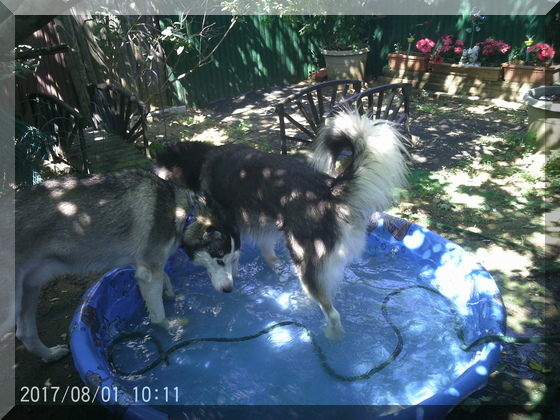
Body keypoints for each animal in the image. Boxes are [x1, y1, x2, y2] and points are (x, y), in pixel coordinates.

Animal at [155, 110, 410, 340]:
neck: (197, 162)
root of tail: (329, 189)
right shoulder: (261, 228)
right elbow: (267, 255)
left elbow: (229, 263)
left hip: (302, 255)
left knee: (332, 313)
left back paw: (331, 336)